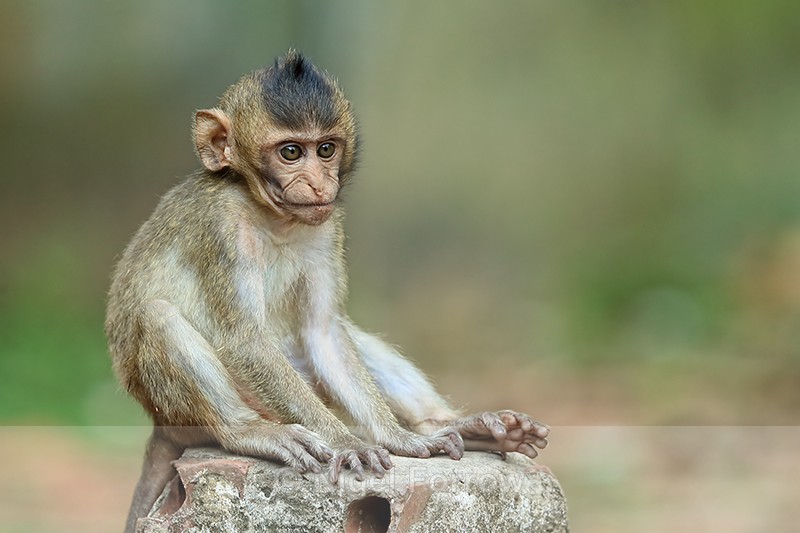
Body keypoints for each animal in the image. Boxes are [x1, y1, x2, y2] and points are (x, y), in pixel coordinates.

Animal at [105, 50, 549, 532]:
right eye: (291, 152)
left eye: (326, 149)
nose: (320, 183)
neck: (272, 215)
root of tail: (159, 422)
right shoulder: (221, 226)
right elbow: (244, 340)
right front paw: (345, 443)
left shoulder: (327, 226)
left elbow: (325, 332)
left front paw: (398, 438)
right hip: (182, 407)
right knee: (157, 314)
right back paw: (248, 431)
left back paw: (449, 426)